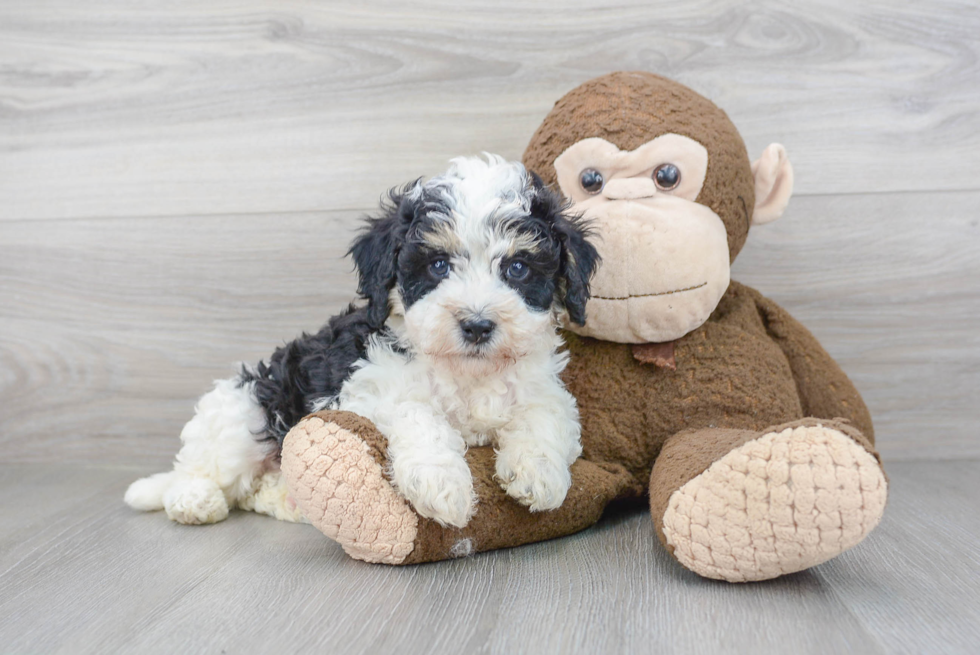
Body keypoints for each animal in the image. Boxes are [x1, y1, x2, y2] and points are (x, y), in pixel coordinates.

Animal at [122, 156, 596, 532]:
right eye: (438, 265)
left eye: (518, 268)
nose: (477, 325)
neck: (468, 369)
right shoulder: (367, 386)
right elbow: (417, 414)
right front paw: (442, 484)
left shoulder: (541, 387)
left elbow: (545, 415)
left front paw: (538, 474)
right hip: (247, 410)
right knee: (203, 467)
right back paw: (193, 500)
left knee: (252, 490)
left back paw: (288, 500)